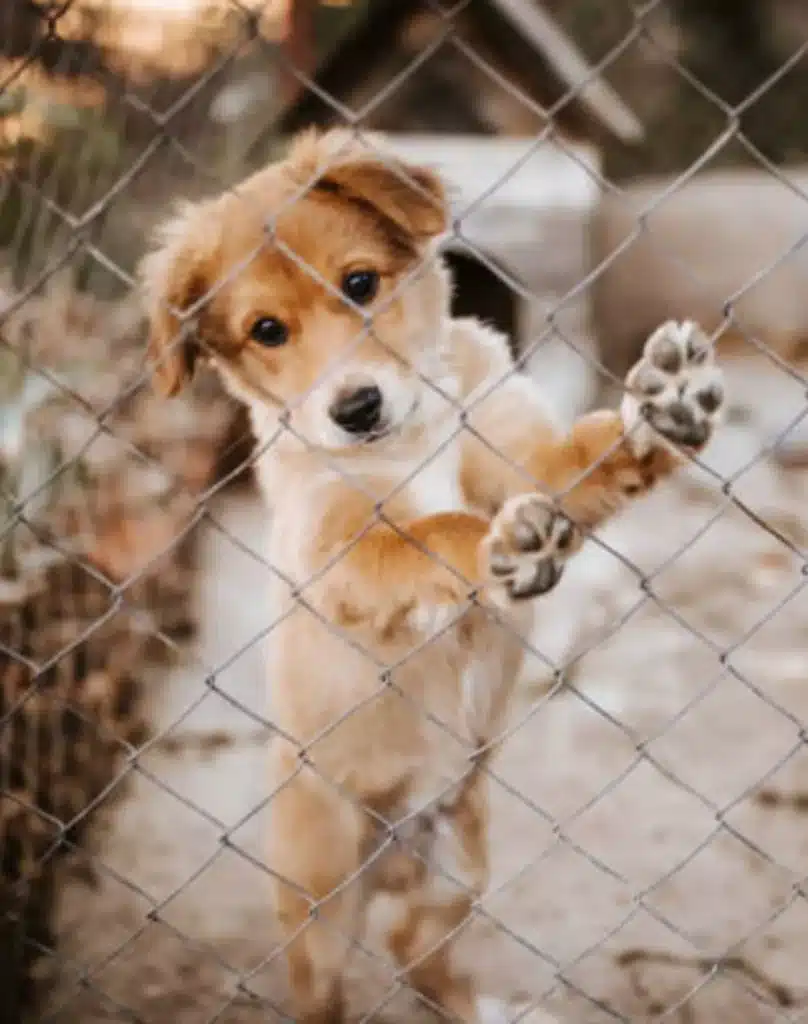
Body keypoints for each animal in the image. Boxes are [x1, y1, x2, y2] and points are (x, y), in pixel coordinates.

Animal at [142, 130, 729, 1024]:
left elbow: (586, 454)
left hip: (456, 873)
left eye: (359, 283)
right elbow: (427, 536)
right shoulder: (339, 547)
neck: (419, 427)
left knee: (421, 959)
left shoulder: (527, 460)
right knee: (328, 989)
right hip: (319, 900)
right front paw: (498, 546)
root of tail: (397, 848)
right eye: (266, 330)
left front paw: (665, 408)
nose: (355, 409)